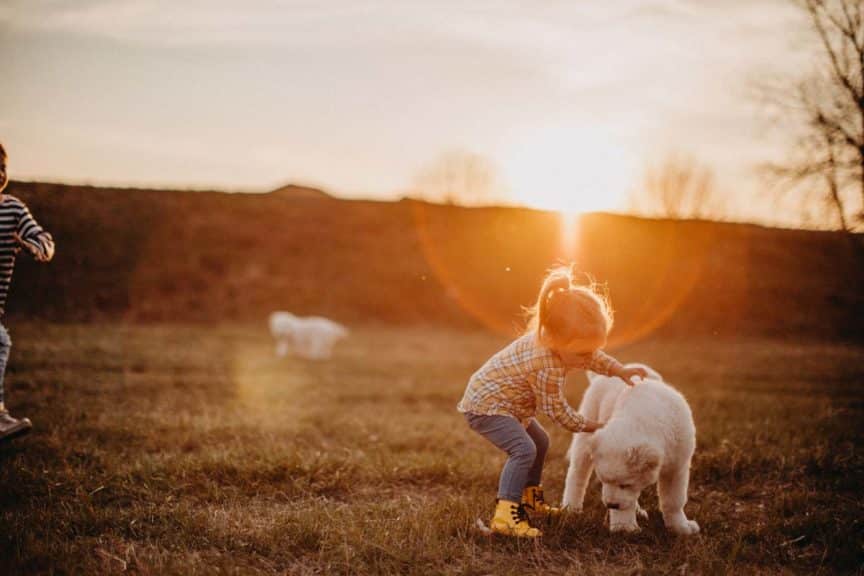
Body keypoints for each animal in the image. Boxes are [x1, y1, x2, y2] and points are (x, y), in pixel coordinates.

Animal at [564, 364, 700, 536]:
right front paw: (624, 528)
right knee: (577, 473)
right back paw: (571, 509)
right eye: (603, 481)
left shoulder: (678, 464)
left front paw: (681, 527)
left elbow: (674, 499)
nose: (611, 505)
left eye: (625, 484)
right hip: (586, 427)